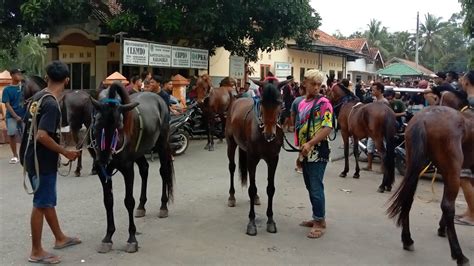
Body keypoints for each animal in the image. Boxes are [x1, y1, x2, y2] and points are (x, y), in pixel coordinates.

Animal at [90, 82, 174, 252]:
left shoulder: (127, 169)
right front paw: (108, 237)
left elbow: (128, 201)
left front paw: (132, 238)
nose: (104, 158)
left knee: (164, 171)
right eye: (97, 122)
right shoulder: (104, 172)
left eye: (119, 125)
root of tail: (159, 98)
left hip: (162, 144)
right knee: (144, 169)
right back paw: (142, 206)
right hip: (140, 152)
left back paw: (163, 206)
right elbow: (108, 201)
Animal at [226, 80, 286, 235]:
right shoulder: (252, 158)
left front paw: (270, 220)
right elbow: (251, 189)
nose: (269, 134)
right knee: (232, 168)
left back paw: (256, 197)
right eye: (263, 102)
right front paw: (251, 222)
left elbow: (270, 188)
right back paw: (231, 196)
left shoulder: (273, 159)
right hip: (231, 143)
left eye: (279, 102)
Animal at [386, 81, 472, 266]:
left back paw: (407, 239)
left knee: (408, 197)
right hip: (451, 171)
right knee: (448, 206)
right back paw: (459, 255)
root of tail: (424, 119)